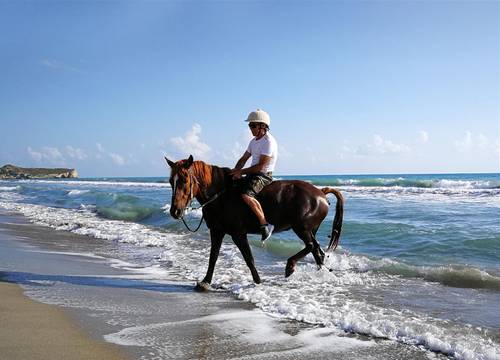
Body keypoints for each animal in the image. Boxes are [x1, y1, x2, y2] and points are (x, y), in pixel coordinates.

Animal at [165, 155, 344, 290]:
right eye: (171, 181)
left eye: (184, 180)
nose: (175, 211)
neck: (221, 196)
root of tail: (321, 192)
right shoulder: (216, 231)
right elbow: (213, 257)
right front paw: (206, 281)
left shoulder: (238, 234)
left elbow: (249, 259)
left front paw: (258, 282)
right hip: (309, 230)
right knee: (317, 251)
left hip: (302, 228)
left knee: (312, 246)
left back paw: (290, 265)